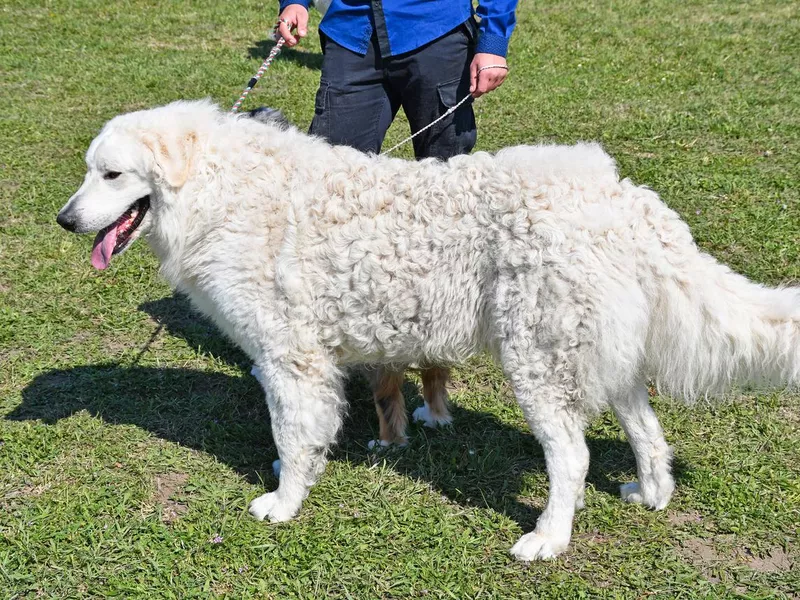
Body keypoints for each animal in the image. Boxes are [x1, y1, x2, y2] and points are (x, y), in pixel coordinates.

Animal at [57, 101, 800, 560]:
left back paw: (549, 540)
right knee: (648, 432)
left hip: (537, 358)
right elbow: (306, 434)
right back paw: (650, 494)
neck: (220, 189)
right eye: (91, 171)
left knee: (572, 458)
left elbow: (292, 435)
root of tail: (627, 198)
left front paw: (285, 502)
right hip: (591, 351)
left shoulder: (290, 357)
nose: (65, 220)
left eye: (113, 174)